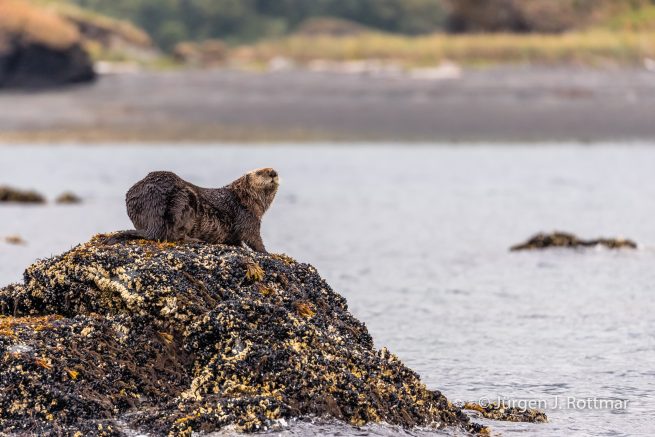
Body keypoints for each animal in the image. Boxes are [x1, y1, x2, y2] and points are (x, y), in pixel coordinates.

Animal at [109, 168, 278, 253]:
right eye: (259, 172)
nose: (273, 172)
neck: (241, 196)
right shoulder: (246, 215)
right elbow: (251, 236)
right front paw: (265, 252)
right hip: (185, 202)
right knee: (174, 235)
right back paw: (196, 240)